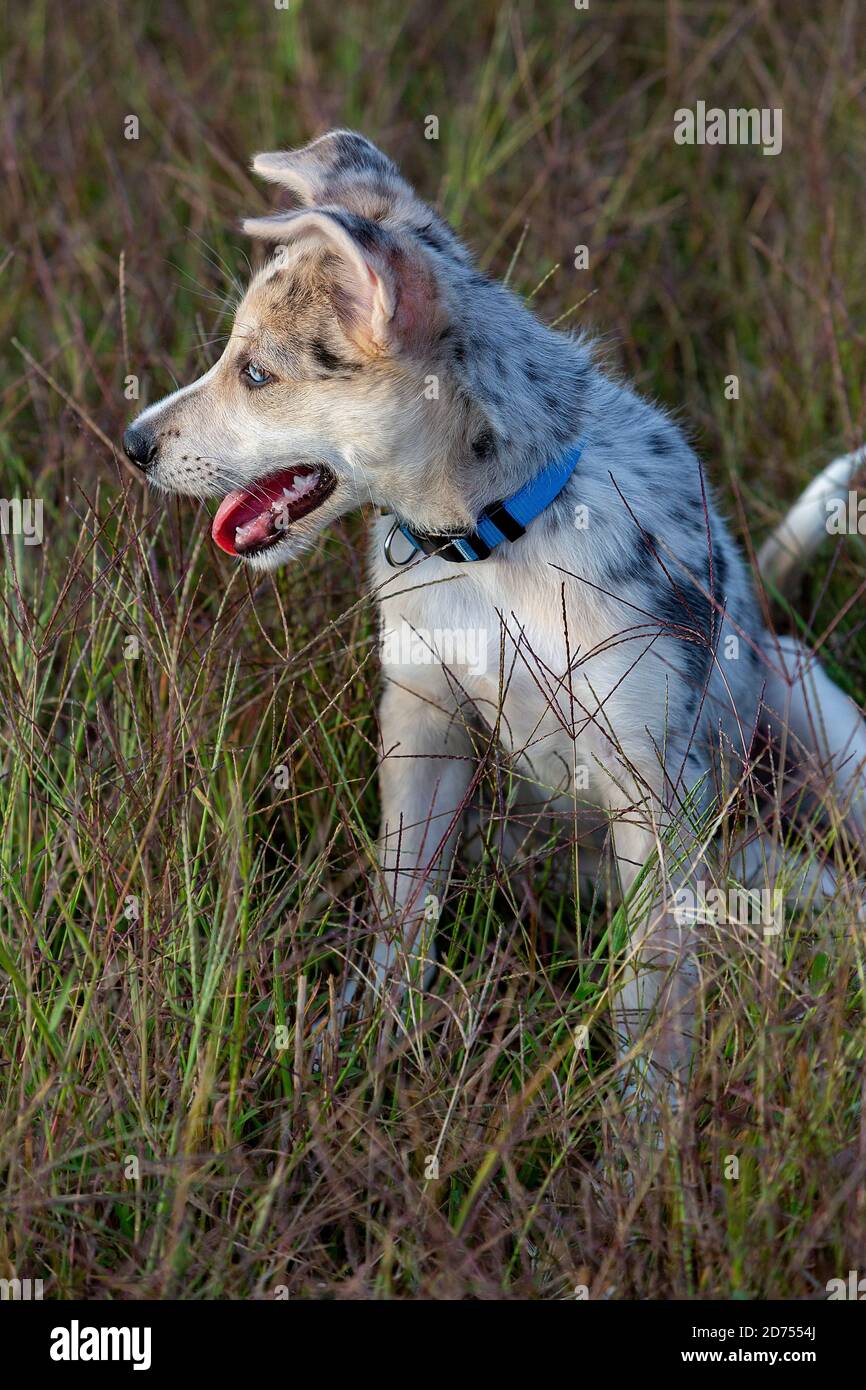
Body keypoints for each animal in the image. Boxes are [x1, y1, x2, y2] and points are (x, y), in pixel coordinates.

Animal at [122, 132, 866, 1117]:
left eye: (256, 374)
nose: (131, 445)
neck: (490, 546)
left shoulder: (654, 789)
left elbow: (653, 1000)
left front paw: (647, 1140)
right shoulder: (423, 724)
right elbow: (404, 914)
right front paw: (378, 1052)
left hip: (818, 736)